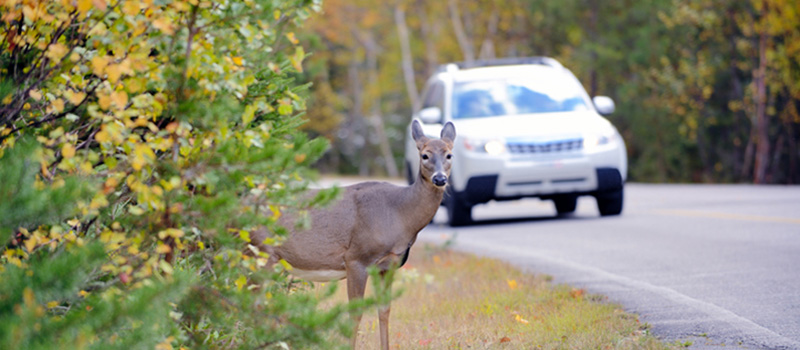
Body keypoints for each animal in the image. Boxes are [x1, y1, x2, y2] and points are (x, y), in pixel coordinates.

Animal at [255, 119, 456, 348]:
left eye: (449, 155)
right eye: (424, 155)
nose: (439, 178)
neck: (399, 214)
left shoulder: (388, 265)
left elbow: (384, 310)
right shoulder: (356, 258)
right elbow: (355, 313)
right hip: (261, 251)